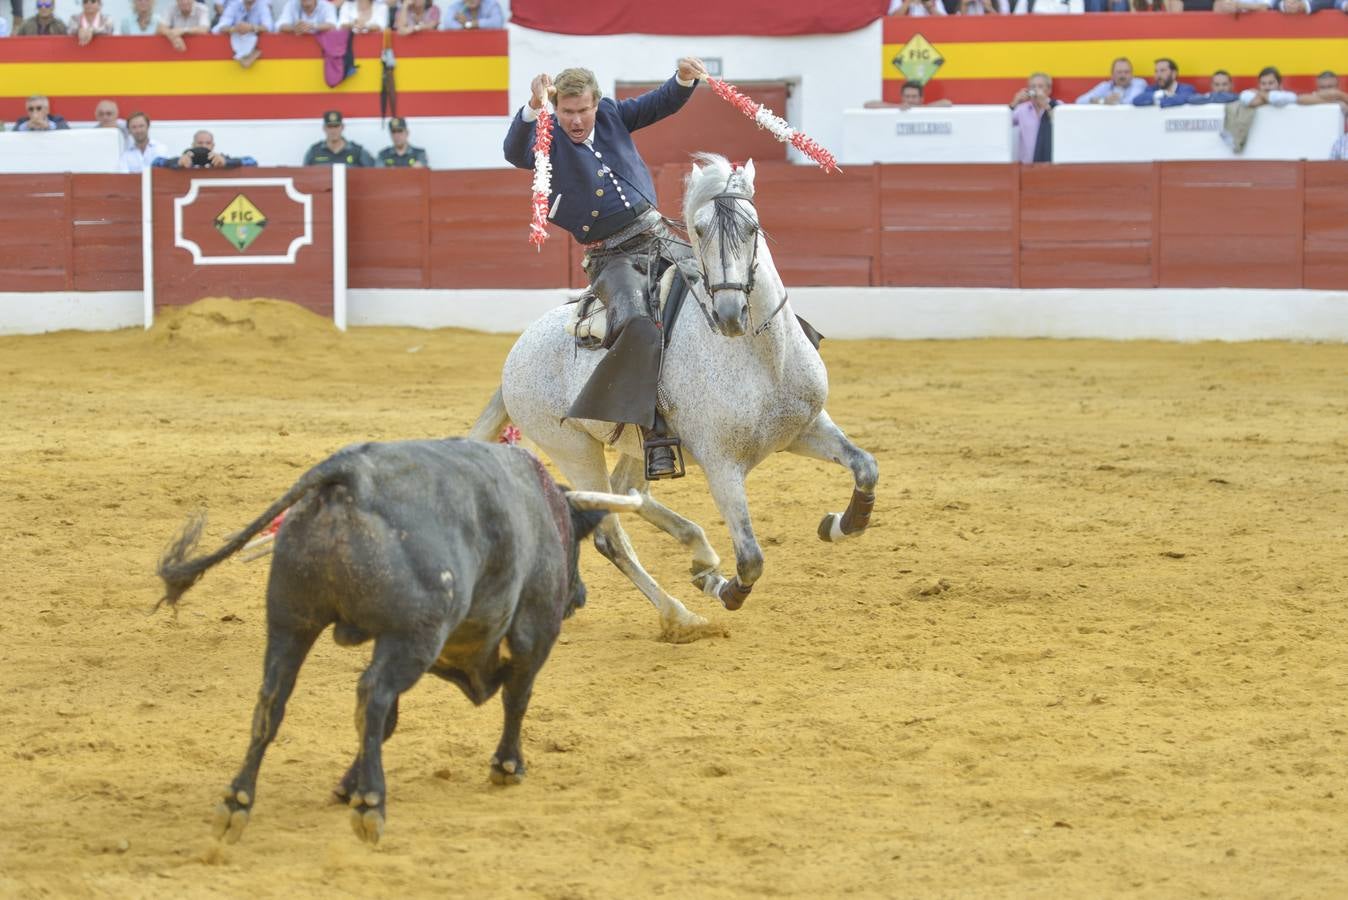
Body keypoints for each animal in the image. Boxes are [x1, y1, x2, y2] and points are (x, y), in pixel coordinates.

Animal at [157, 436, 620, 846]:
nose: (579, 595)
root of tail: (349, 474)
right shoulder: (531, 637)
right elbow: (517, 699)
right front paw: (507, 766)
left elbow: (387, 723)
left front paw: (347, 786)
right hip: (412, 638)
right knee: (373, 694)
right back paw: (372, 805)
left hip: (292, 620)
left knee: (275, 699)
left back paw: (237, 802)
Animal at [471, 152, 873, 638]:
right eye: (699, 230)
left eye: (752, 228)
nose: (730, 314)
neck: (764, 360)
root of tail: (517, 350)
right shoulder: (722, 466)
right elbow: (751, 558)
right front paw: (721, 588)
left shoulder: (808, 428)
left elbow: (865, 467)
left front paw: (840, 523)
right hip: (572, 449)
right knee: (609, 533)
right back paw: (679, 611)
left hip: (635, 444)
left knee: (631, 492)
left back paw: (699, 552)